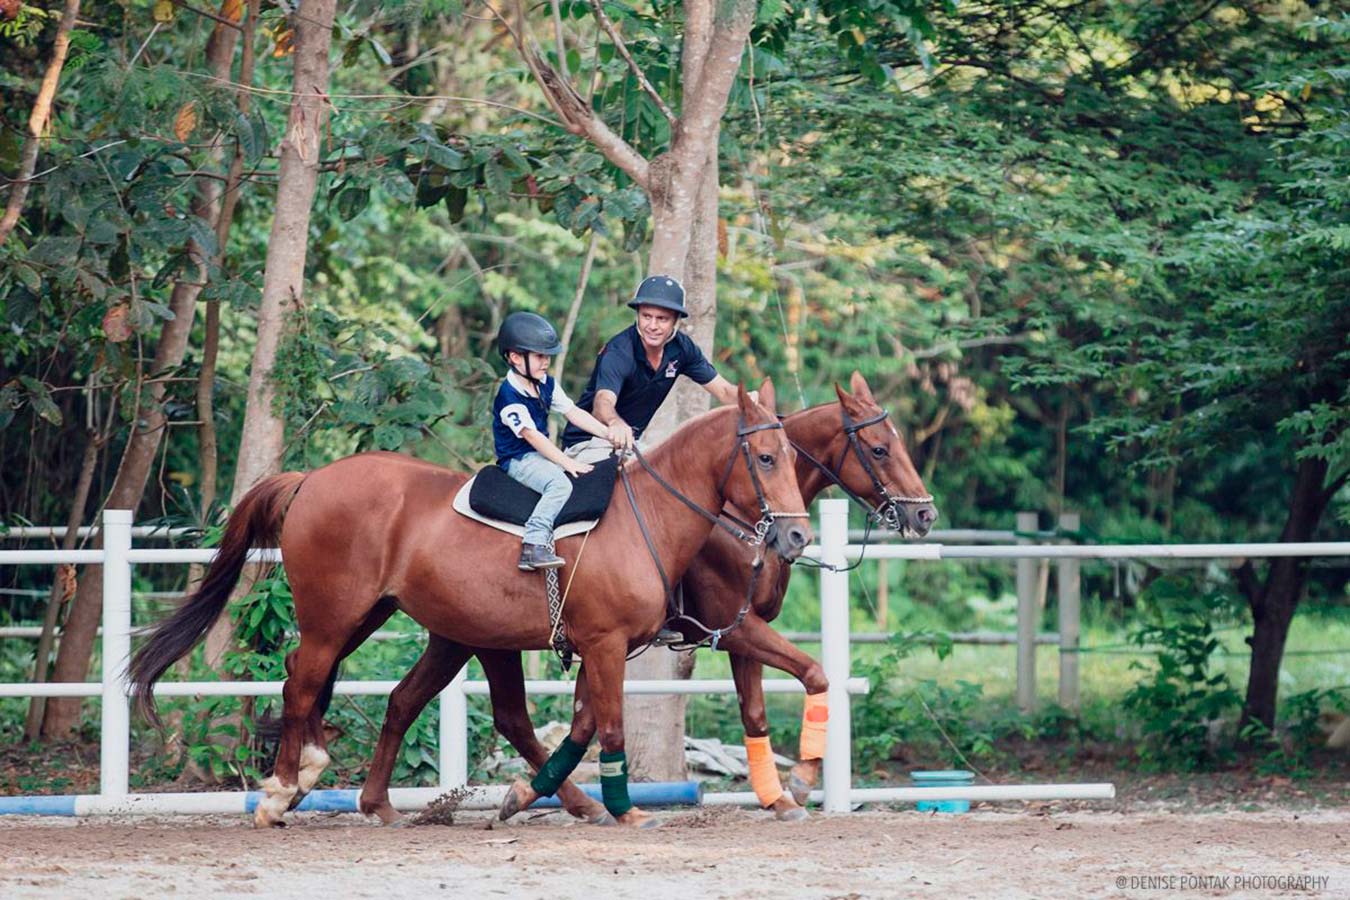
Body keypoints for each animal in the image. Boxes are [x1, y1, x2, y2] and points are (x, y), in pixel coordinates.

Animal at [126, 383, 804, 831]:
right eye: (766, 458)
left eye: (795, 458)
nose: (795, 536)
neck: (644, 520)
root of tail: (312, 479)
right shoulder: (605, 645)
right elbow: (606, 727)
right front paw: (621, 808)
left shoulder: (596, 649)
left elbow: (580, 725)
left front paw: (543, 797)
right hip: (335, 615)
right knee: (304, 682)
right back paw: (280, 792)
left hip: (376, 617)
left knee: (357, 690)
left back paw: (351, 793)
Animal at [353, 372, 934, 825]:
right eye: (879, 448)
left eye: (792, 458)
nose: (924, 513)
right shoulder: (726, 628)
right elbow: (813, 673)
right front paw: (800, 783)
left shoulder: (729, 633)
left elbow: (752, 714)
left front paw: (777, 797)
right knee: (493, 713)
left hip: (459, 636)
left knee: (415, 701)